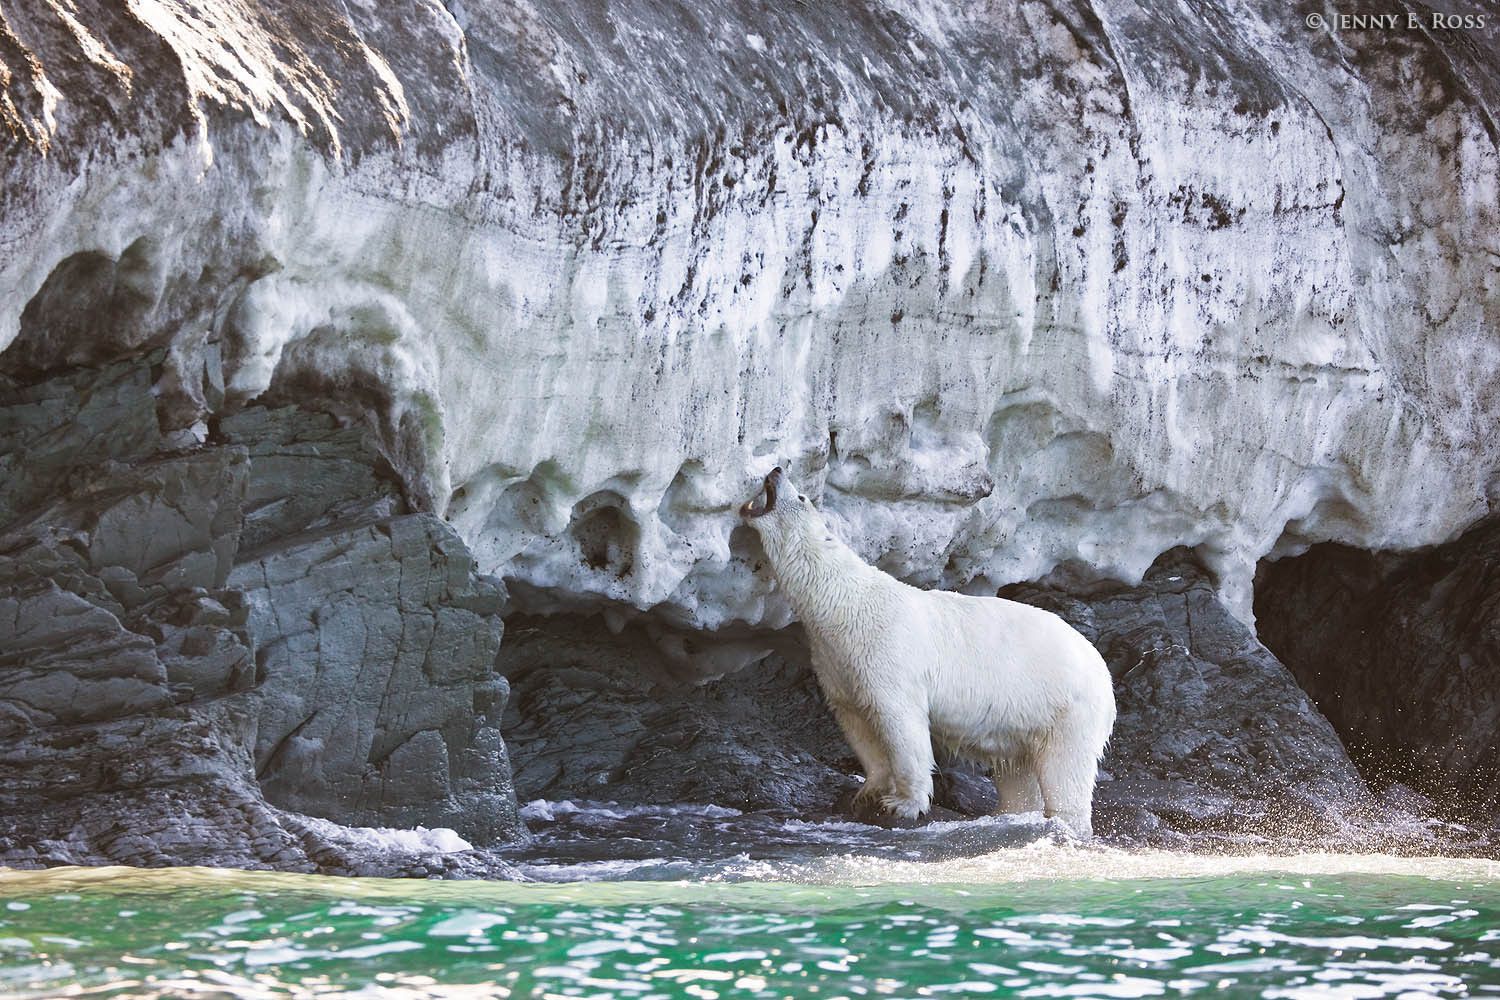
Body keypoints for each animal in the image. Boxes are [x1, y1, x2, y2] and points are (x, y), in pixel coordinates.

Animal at [740, 466, 1116, 837]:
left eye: (801, 496)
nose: (776, 470)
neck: (846, 602)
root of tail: (1103, 672)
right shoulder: (837, 661)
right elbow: (857, 722)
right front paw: (867, 792)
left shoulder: (886, 650)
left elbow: (901, 723)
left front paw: (903, 804)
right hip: (1025, 718)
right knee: (1017, 771)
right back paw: (1010, 813)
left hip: (1067, 707)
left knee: (1066, 768)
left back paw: (1066, 822)